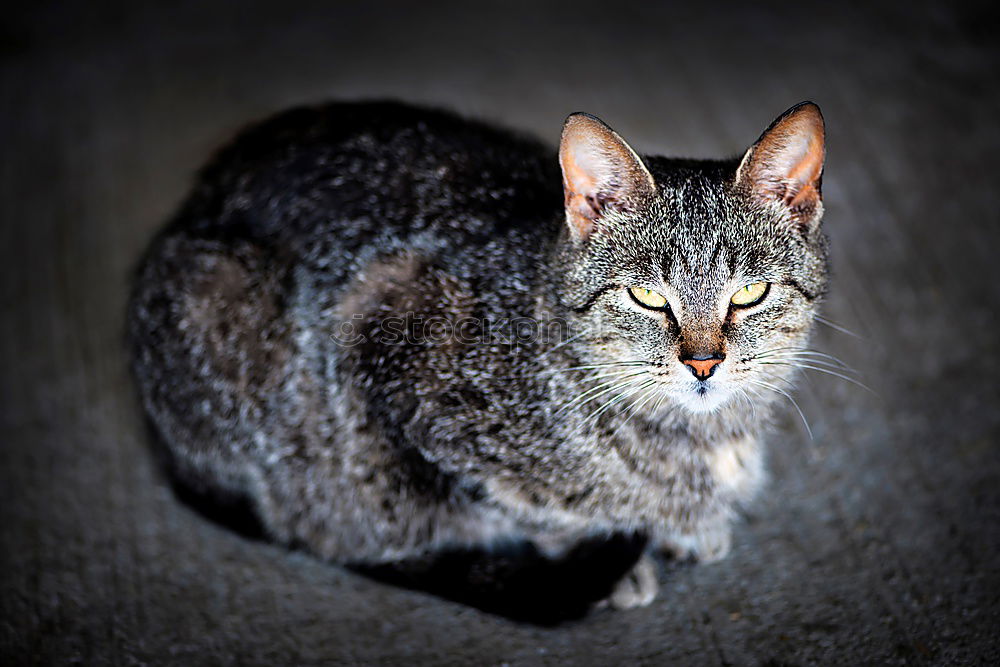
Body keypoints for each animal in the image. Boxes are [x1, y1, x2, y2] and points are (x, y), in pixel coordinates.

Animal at [129, 100, 832, 616]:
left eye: (750, 293)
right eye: (648, 297)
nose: (704, 363)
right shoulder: (387, 336)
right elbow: (522, 502)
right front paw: (620, 548)